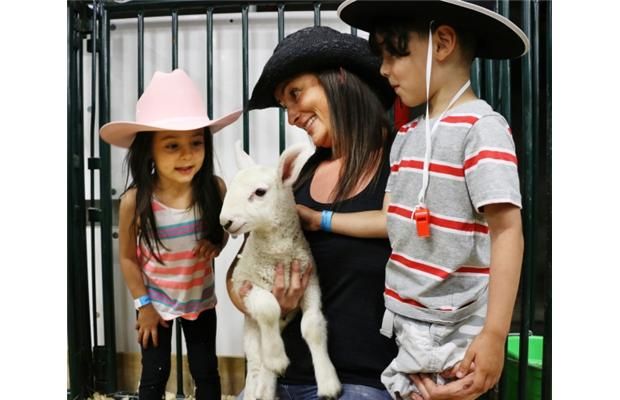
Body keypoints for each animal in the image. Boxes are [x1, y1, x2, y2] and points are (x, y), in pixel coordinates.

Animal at [220, 142, 342, 398]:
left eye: (259, 192)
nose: (225, 222)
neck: (278, 253)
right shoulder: (246, 284)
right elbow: (269, 309)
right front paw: (277, 358)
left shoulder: (310, 281)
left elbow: (313, 326)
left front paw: (328, 383)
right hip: (251, 334)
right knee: (256, 364)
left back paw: (266, 388)